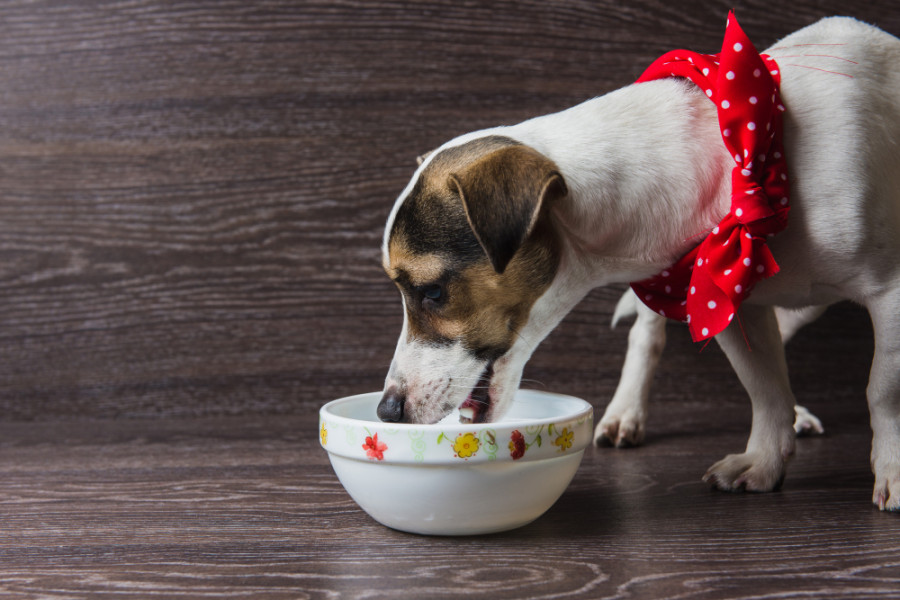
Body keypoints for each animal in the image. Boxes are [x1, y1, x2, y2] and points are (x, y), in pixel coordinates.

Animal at [376, 15, 900, 510]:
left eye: (433, 292)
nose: (387, 411)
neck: (747, 156)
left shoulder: (887, 294)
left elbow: (882, 388)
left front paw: (892, 470)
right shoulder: (725, 299)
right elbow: (765, 387)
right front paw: (765, 462)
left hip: (805, 300)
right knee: (647, 335)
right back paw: (629, 409)